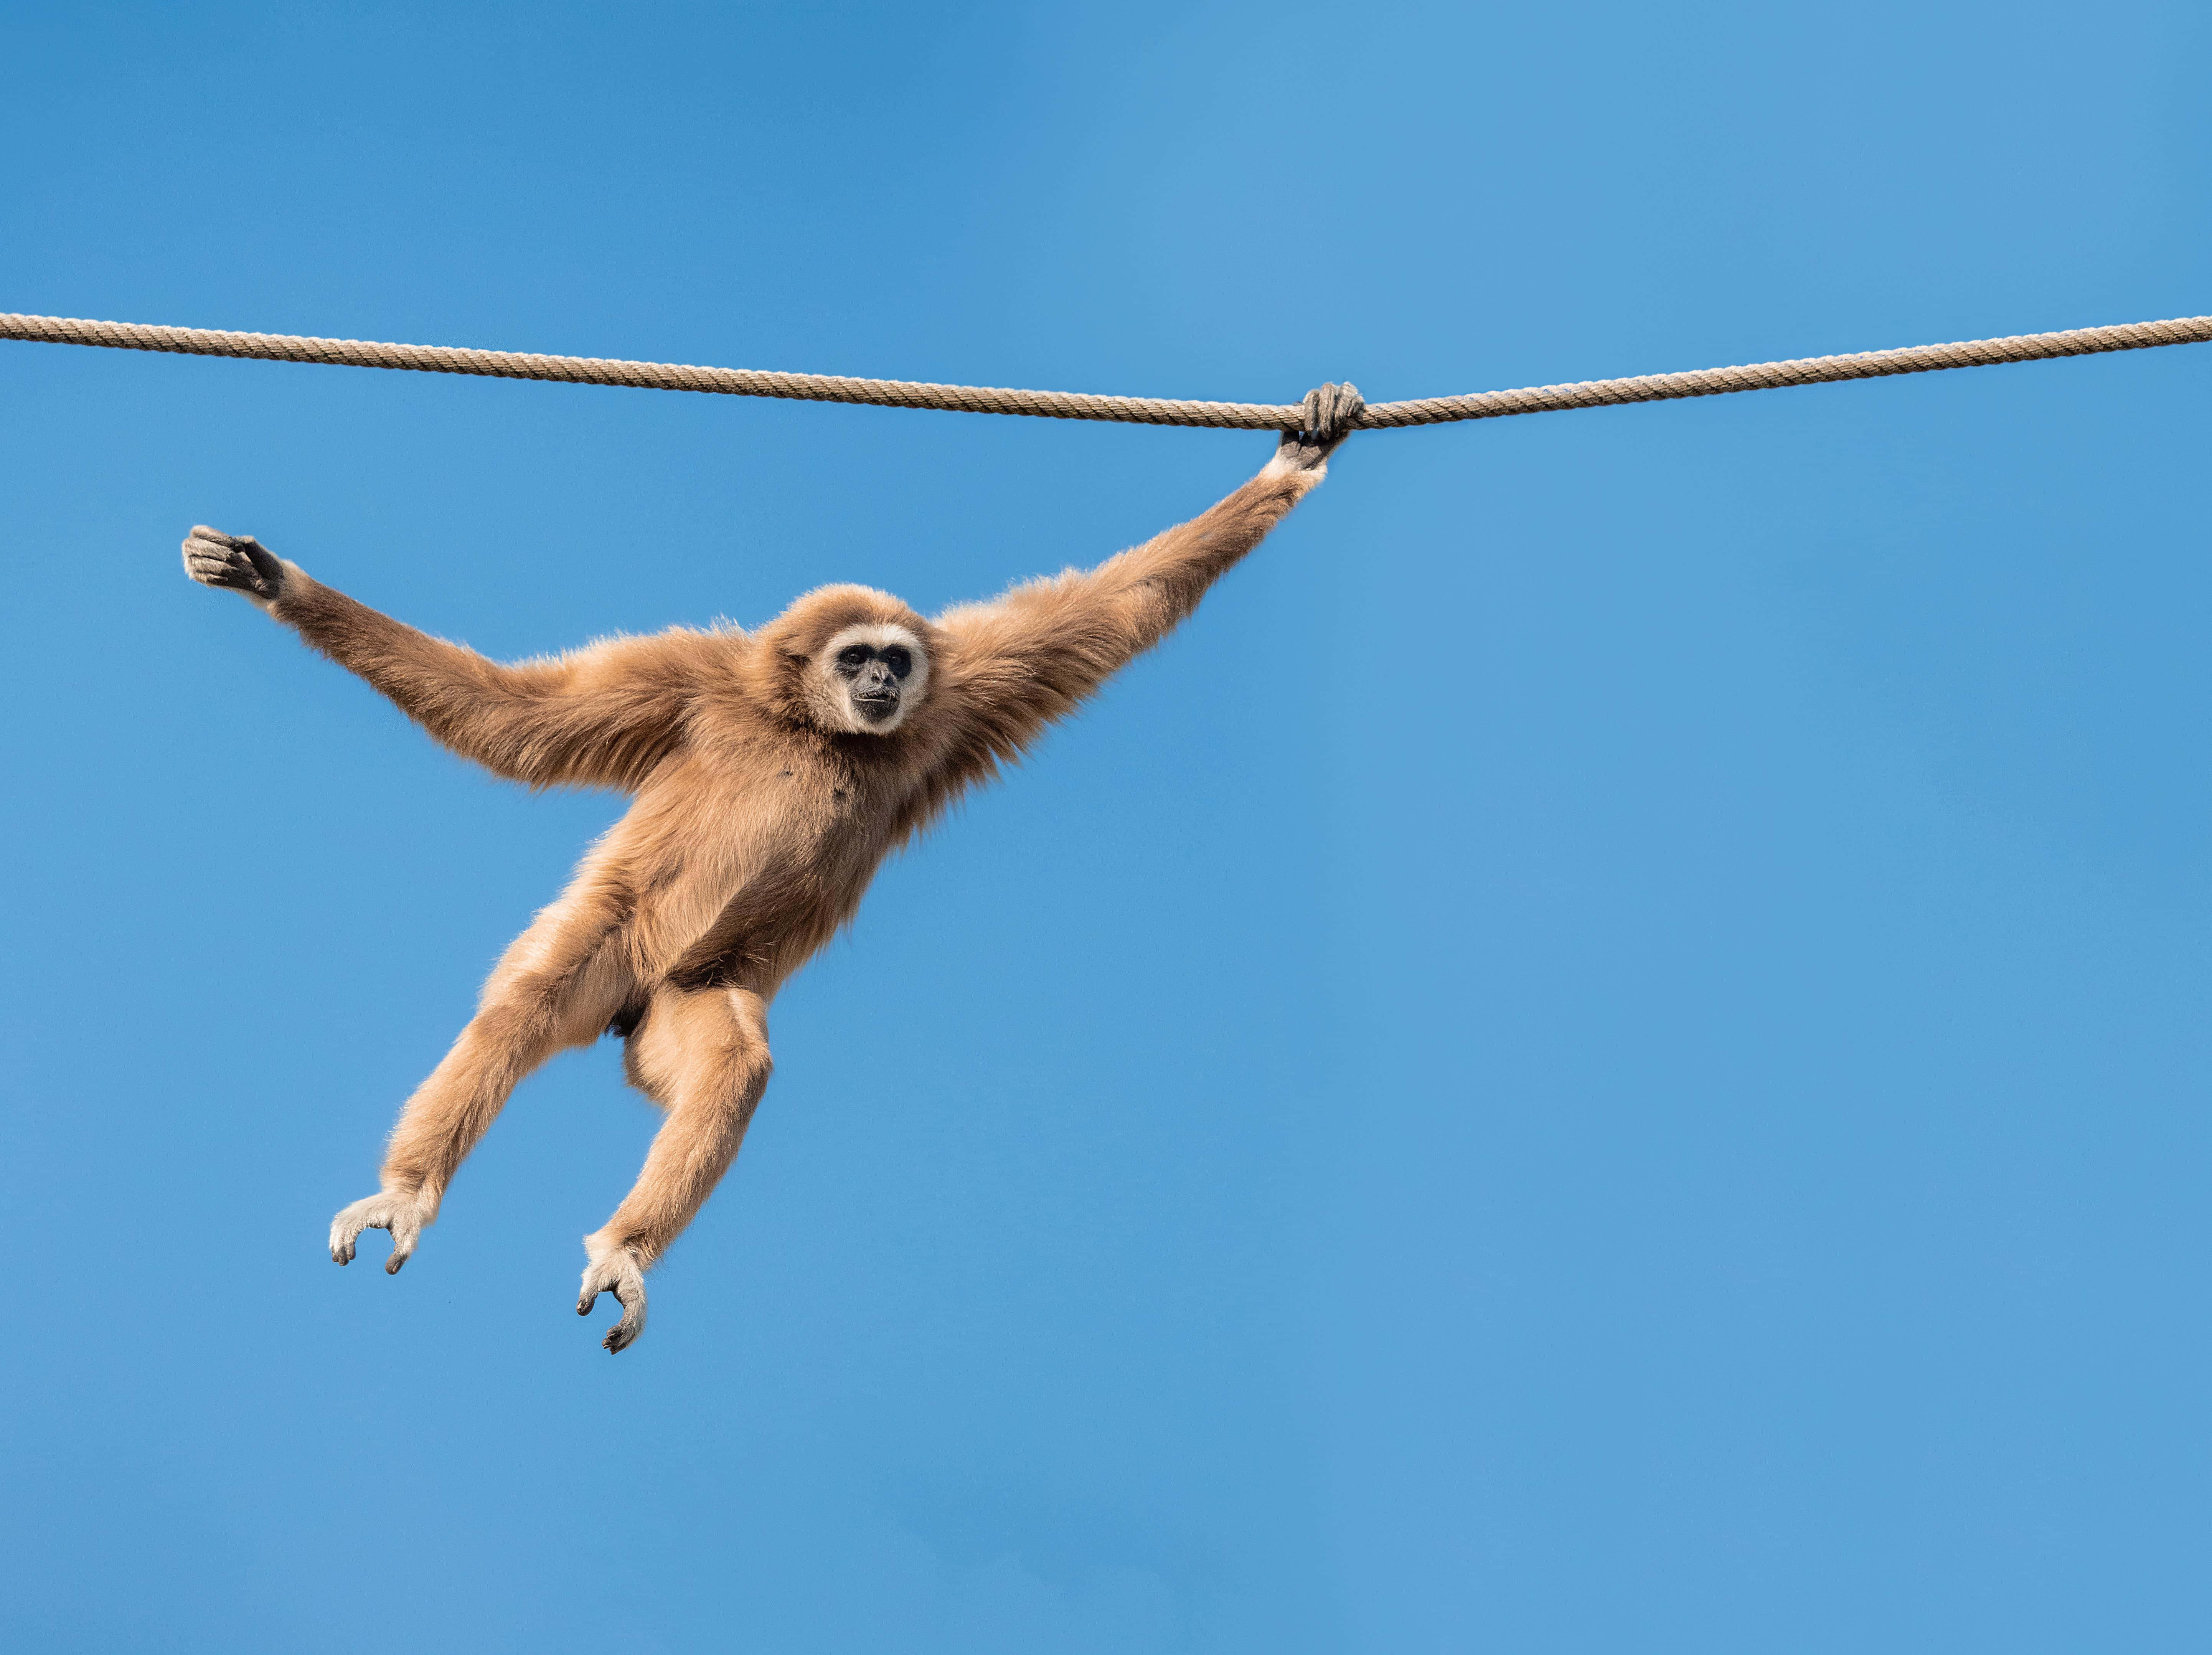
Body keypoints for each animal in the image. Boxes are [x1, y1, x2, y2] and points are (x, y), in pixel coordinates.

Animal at [181, 382, 1362, 1352]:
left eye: (896, 660)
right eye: (857, 658)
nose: (883, 682)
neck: (814, 728)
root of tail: (631, 1004)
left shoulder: (952, 703)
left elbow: (1116, 608)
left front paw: (1296, 457)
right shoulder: (688, 681)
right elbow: (517, 718)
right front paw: (278, 585)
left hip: (682, 998)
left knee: (732, 1063)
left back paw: (623, 1248)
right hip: (617, 943)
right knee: (526, 1004)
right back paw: (412, 1192)